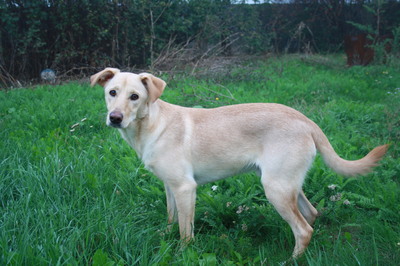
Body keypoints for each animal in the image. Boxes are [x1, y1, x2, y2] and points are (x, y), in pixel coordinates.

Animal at [90, 68, 388, 258]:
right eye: (112, 92)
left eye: (135, 97)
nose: (115, 118)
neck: (151, 124)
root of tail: (306, 120)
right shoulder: (170, 187)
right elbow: (171, 218)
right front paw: (164, 237)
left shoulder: (185, 188)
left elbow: (186, 232)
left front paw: (182, 253)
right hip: (287, 184)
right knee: (312, 215)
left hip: (275, 188)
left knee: (304, 229)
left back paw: (291, 260)